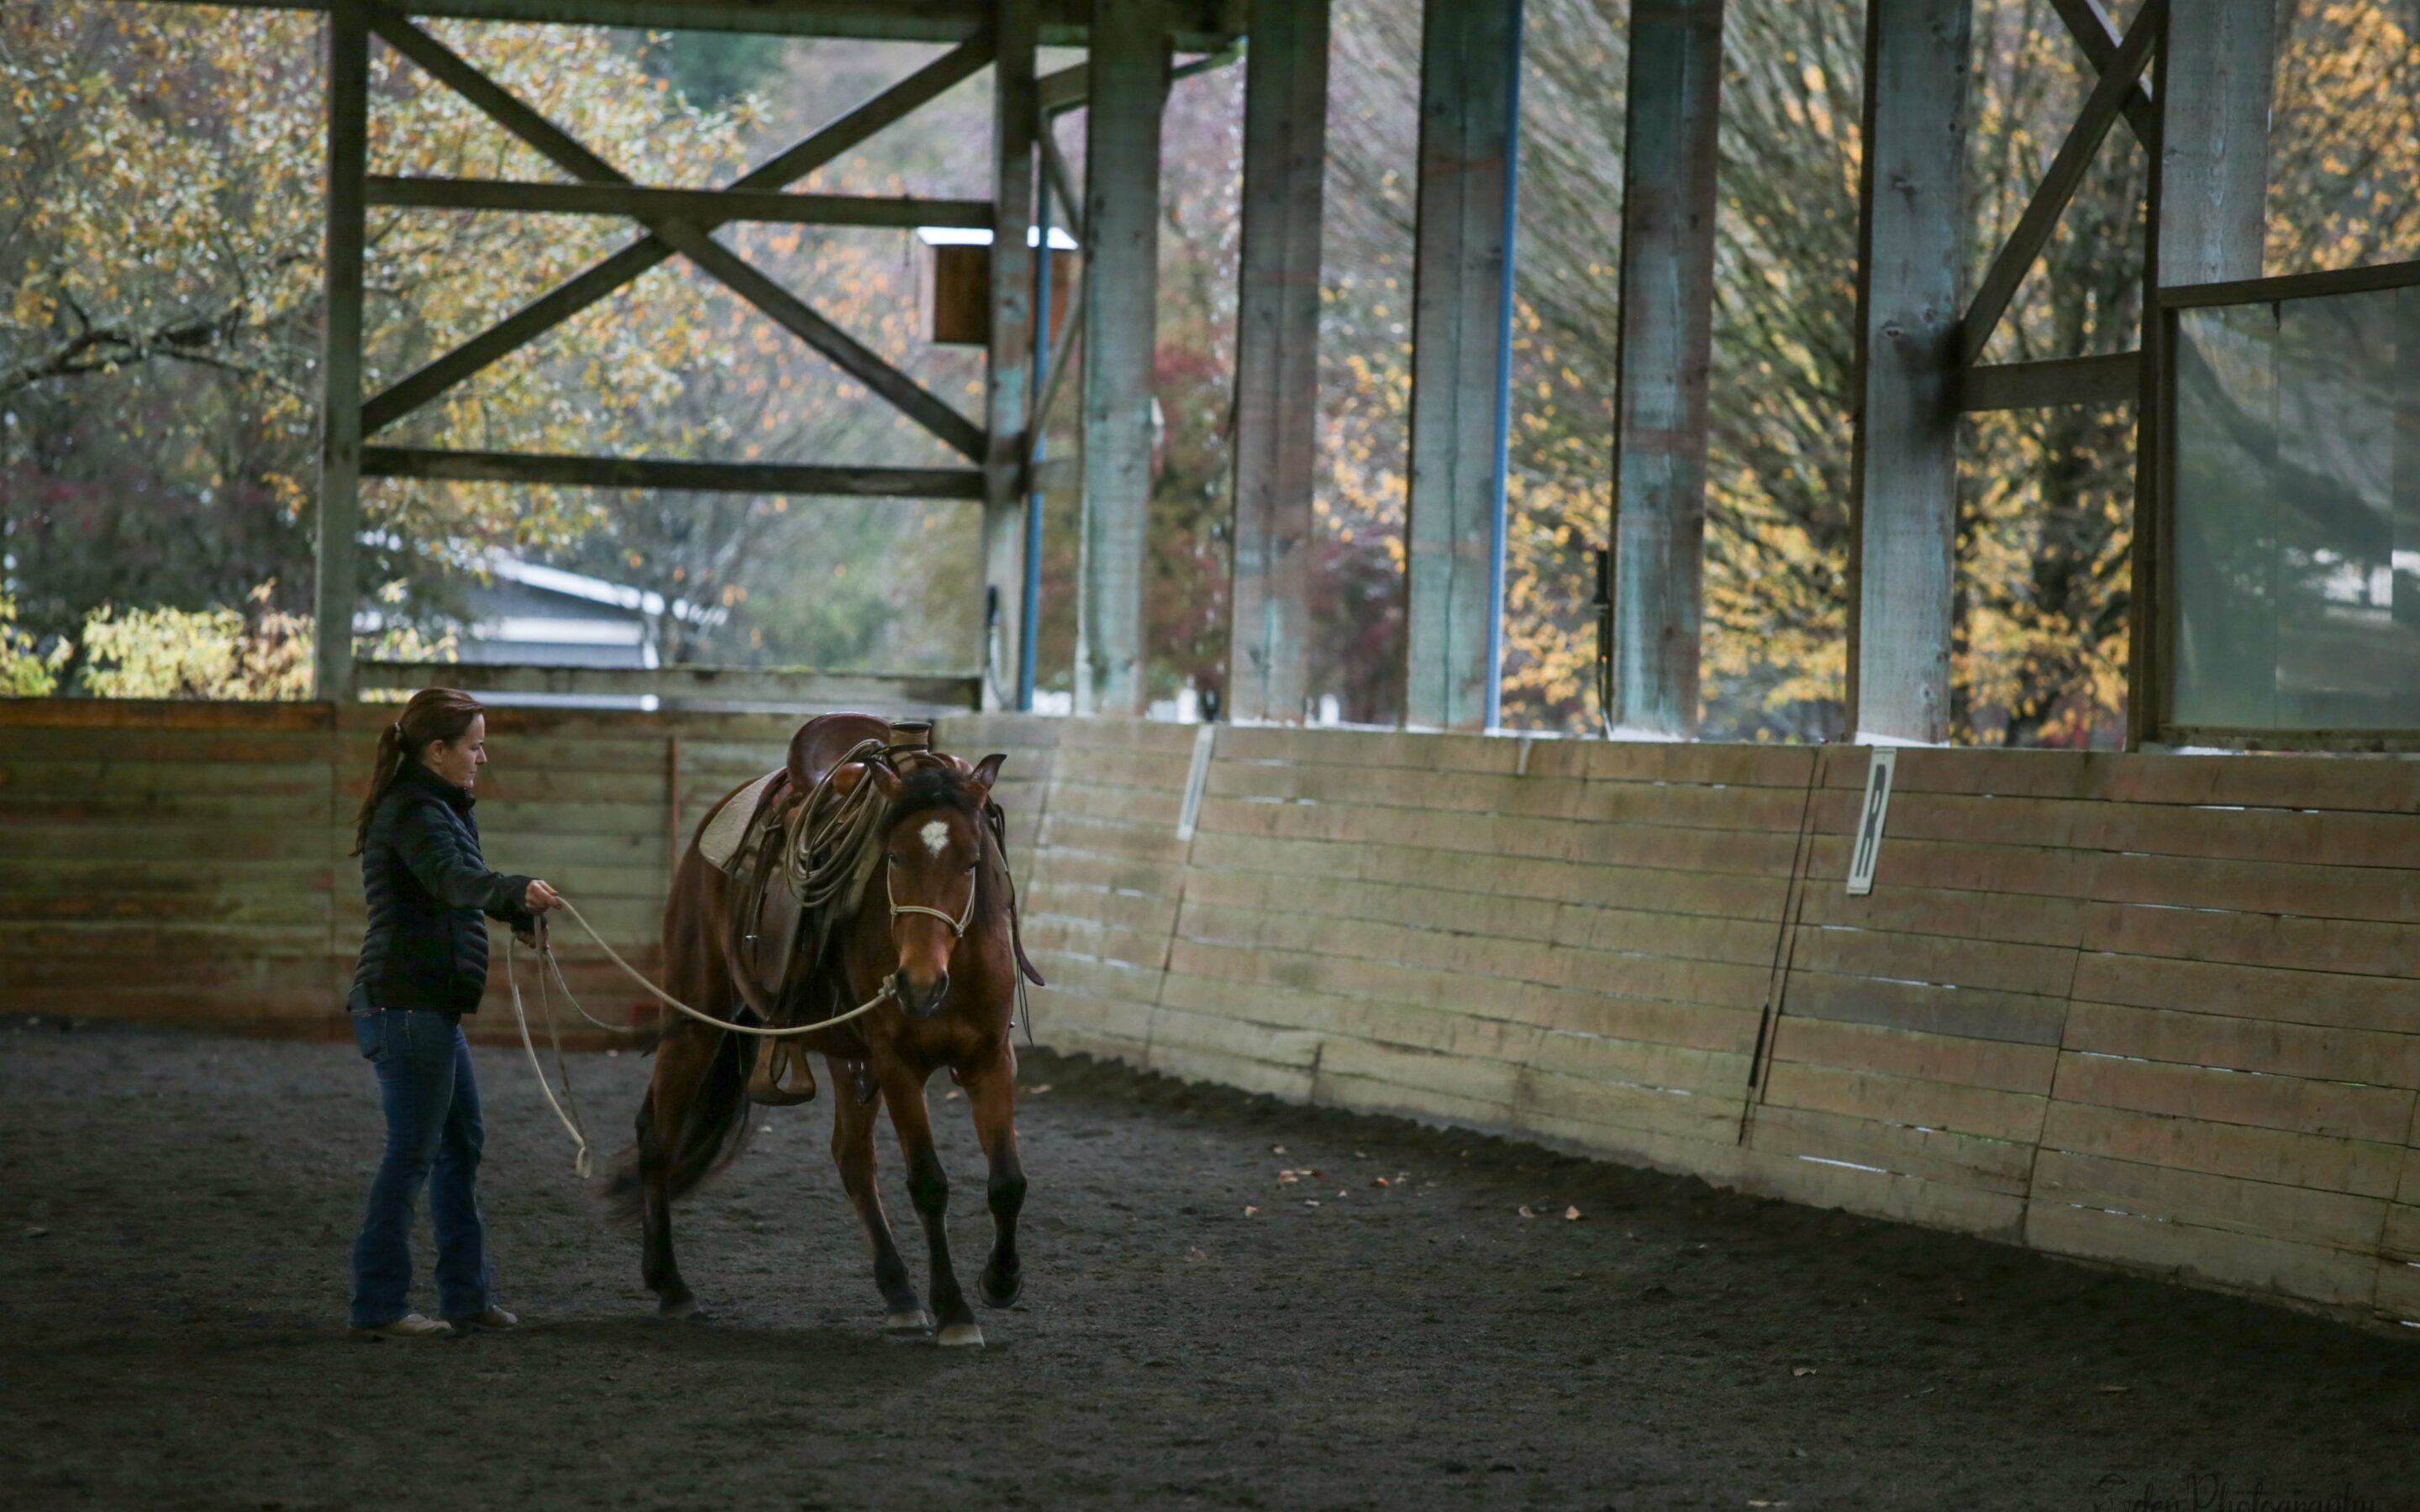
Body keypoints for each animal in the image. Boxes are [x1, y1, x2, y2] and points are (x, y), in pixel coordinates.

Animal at [605, 730, 1030, 1345]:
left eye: (974, 862)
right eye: (894, 857)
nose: (918, 983)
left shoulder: (992, 1060)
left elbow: (1008, 1182)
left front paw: (1000, 1281)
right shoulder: (897, 1065)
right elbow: (929, 1183)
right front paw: (954, 1310)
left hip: (843, 1052)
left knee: (851, 1159)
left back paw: (899, 1293)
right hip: (697, 1015)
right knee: (658, 1136)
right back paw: (672, 1285)